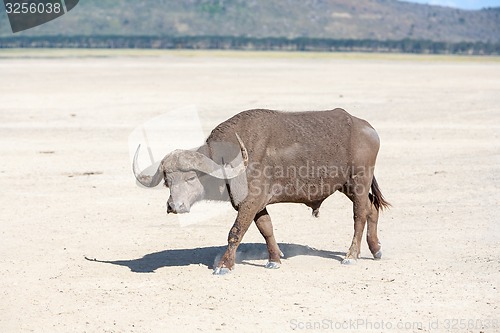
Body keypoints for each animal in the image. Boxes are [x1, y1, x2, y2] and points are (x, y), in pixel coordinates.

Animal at [134, 107, 390, 274]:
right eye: (168, 181)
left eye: (190, 177)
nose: (174, 206)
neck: (232, 158)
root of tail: (367, 128)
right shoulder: (256, 205)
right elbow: (266, 229)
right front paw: (274, 259)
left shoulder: (250, 202)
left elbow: (235, 232)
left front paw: (224, 265)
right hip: (347, 186)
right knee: (371, 209)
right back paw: (376, 249)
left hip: (359, 182)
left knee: (359, 216)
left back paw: (351, 256)